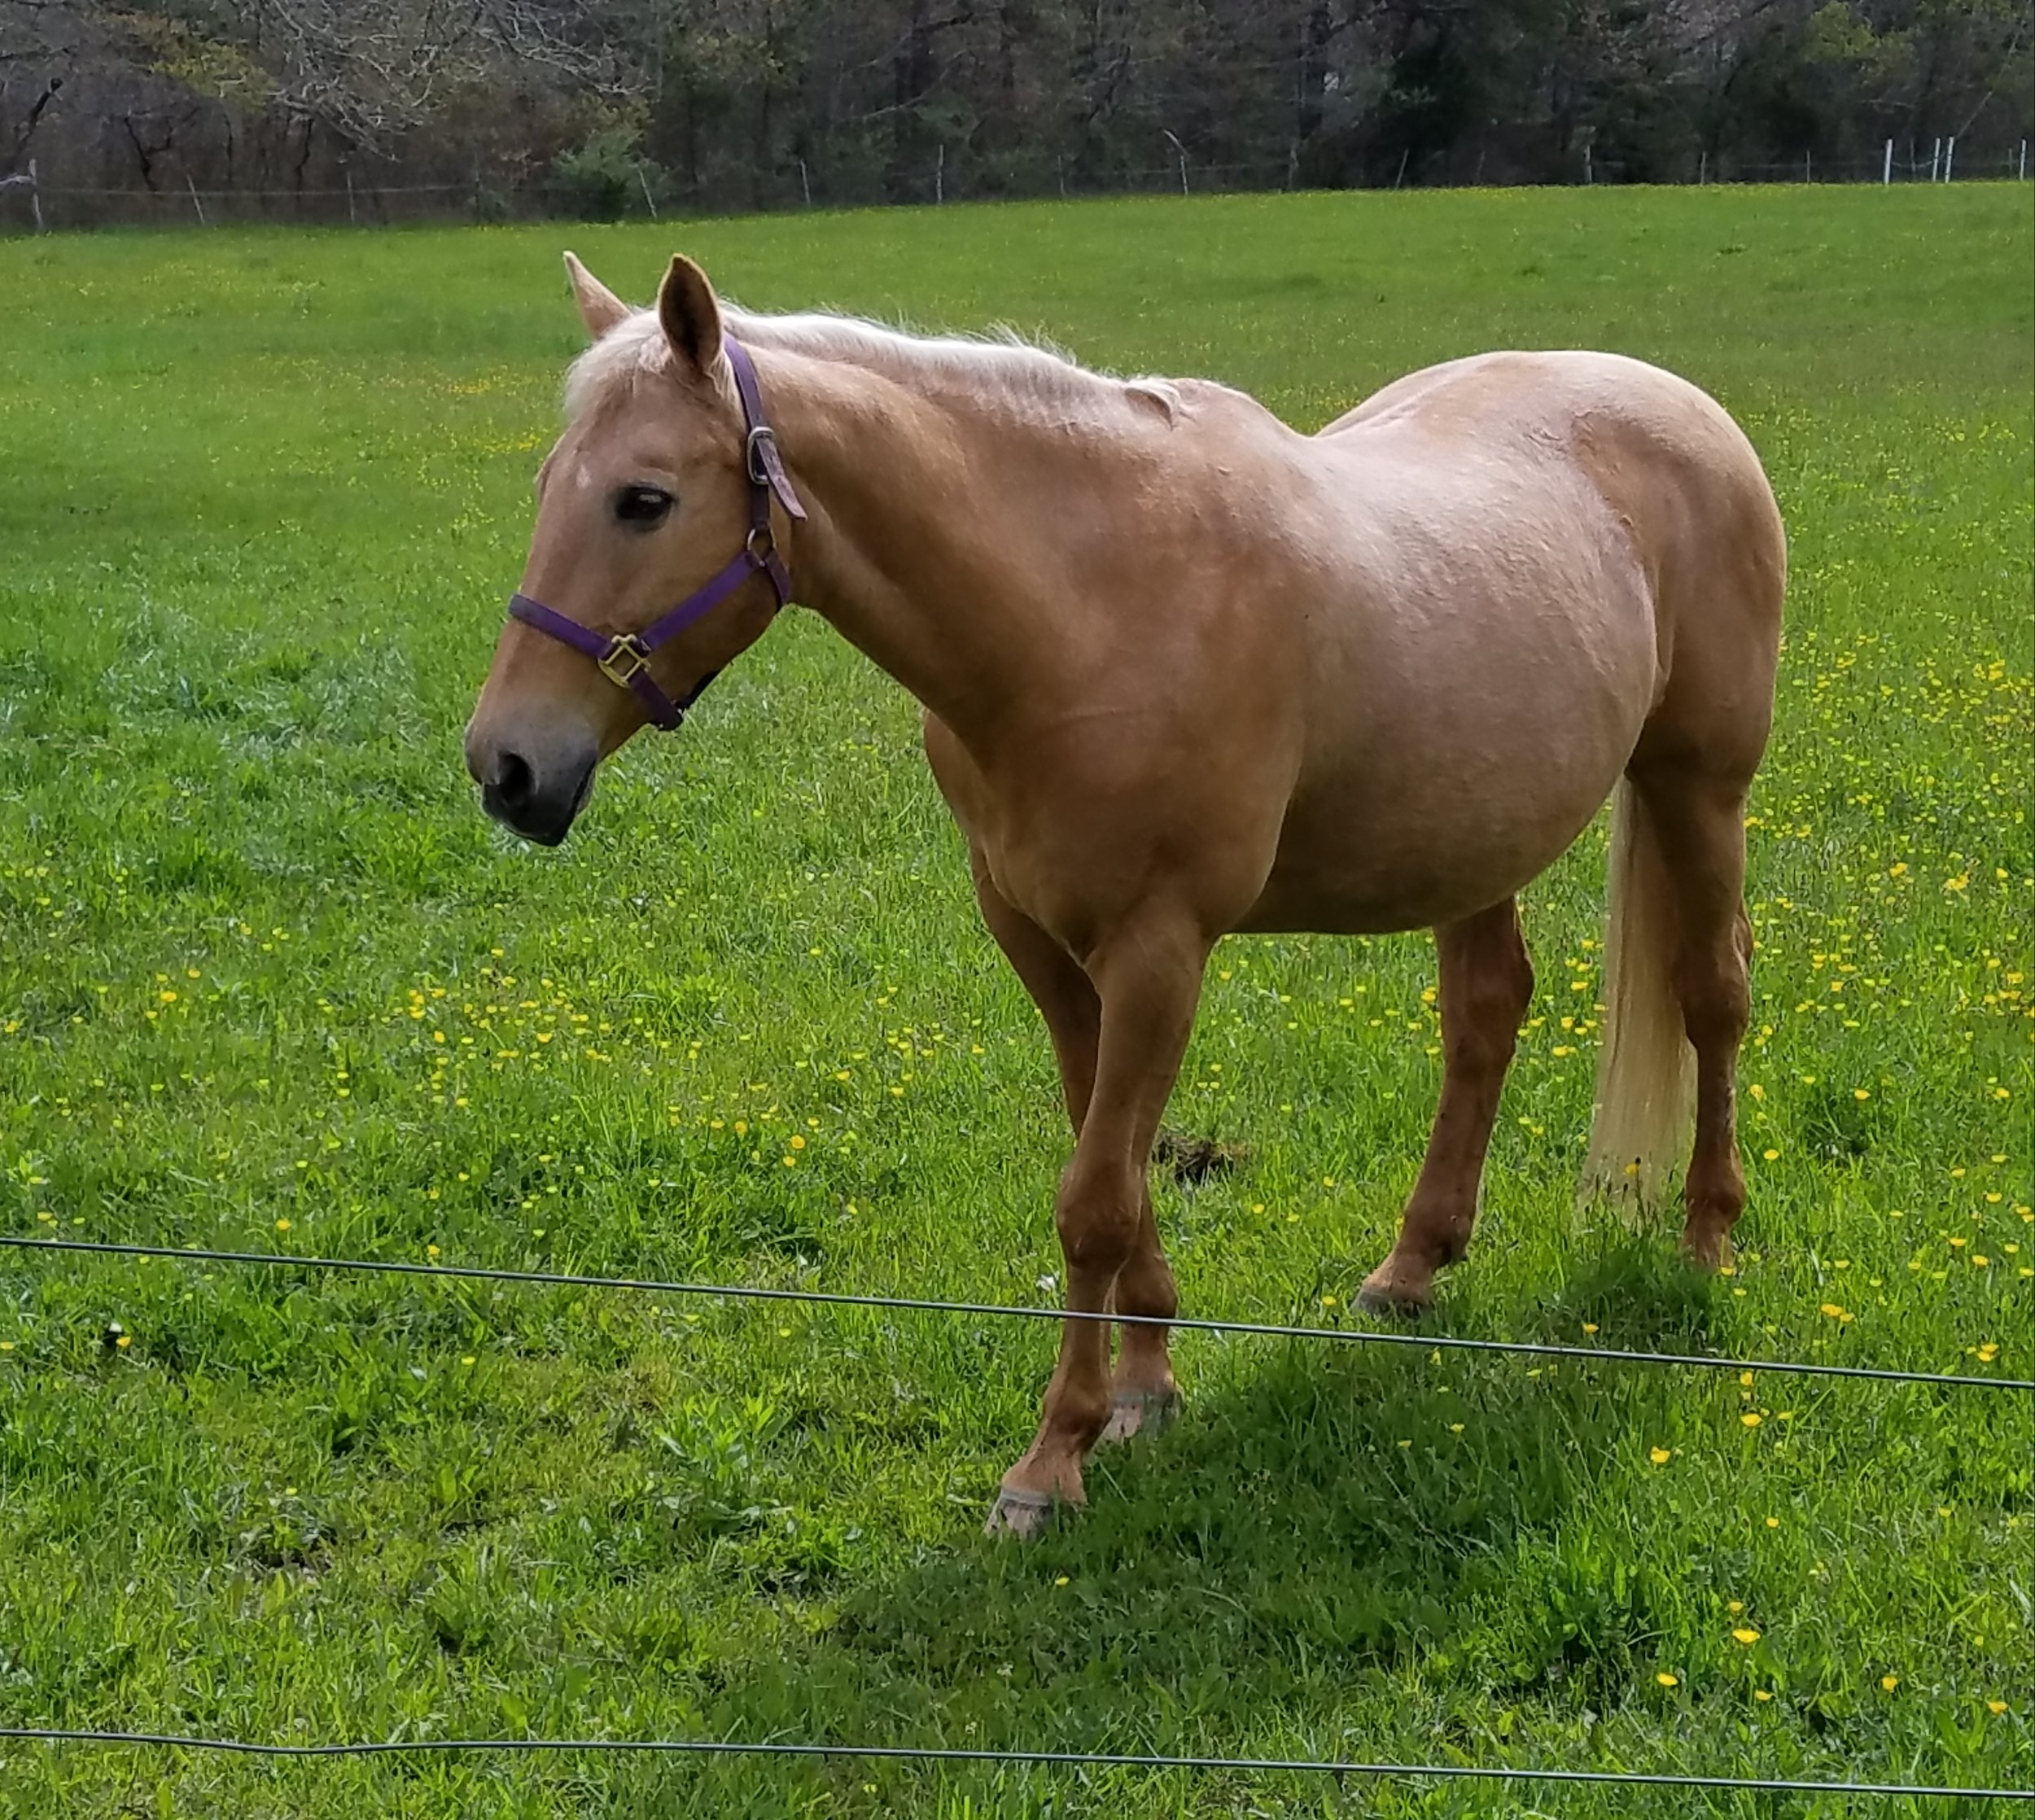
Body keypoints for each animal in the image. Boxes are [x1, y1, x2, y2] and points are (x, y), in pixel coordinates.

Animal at [464, 252, 1785, 1538]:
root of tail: (1683, 408)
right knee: (1485, 1016)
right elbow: (1110, 1153)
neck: (1088, 610)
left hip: (1697, 788)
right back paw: (1410, 1270)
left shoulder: (1161, 948)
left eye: (644, 498)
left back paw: (1706, 1242)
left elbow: (1094, 1197)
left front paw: (1052, 1462)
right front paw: (1146, 1387)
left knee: (1711, 996)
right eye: (550, 483)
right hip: (1472, 837)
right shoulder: (1041, 943)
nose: (507, 767)